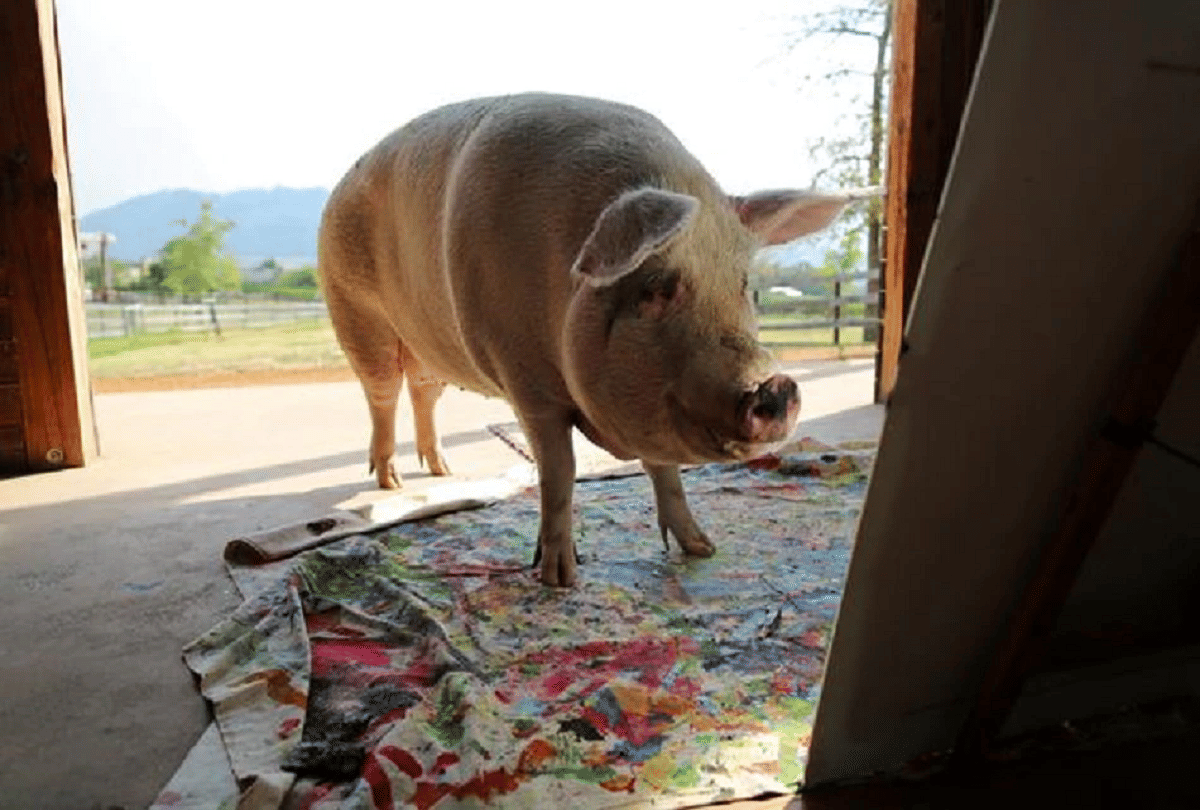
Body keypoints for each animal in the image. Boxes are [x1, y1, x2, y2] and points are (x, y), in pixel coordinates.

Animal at [319, 93, 873, 587]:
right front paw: (559, 579)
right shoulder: (524, 381)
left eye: (742, 285)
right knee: (382, 395)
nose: (775, 386)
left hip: (430, 351)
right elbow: (558, 472)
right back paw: (390, 480)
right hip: (355, 313)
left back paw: (440, 471)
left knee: (423, 394)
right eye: (656, 287)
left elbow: (665, 471)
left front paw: (702, 550)